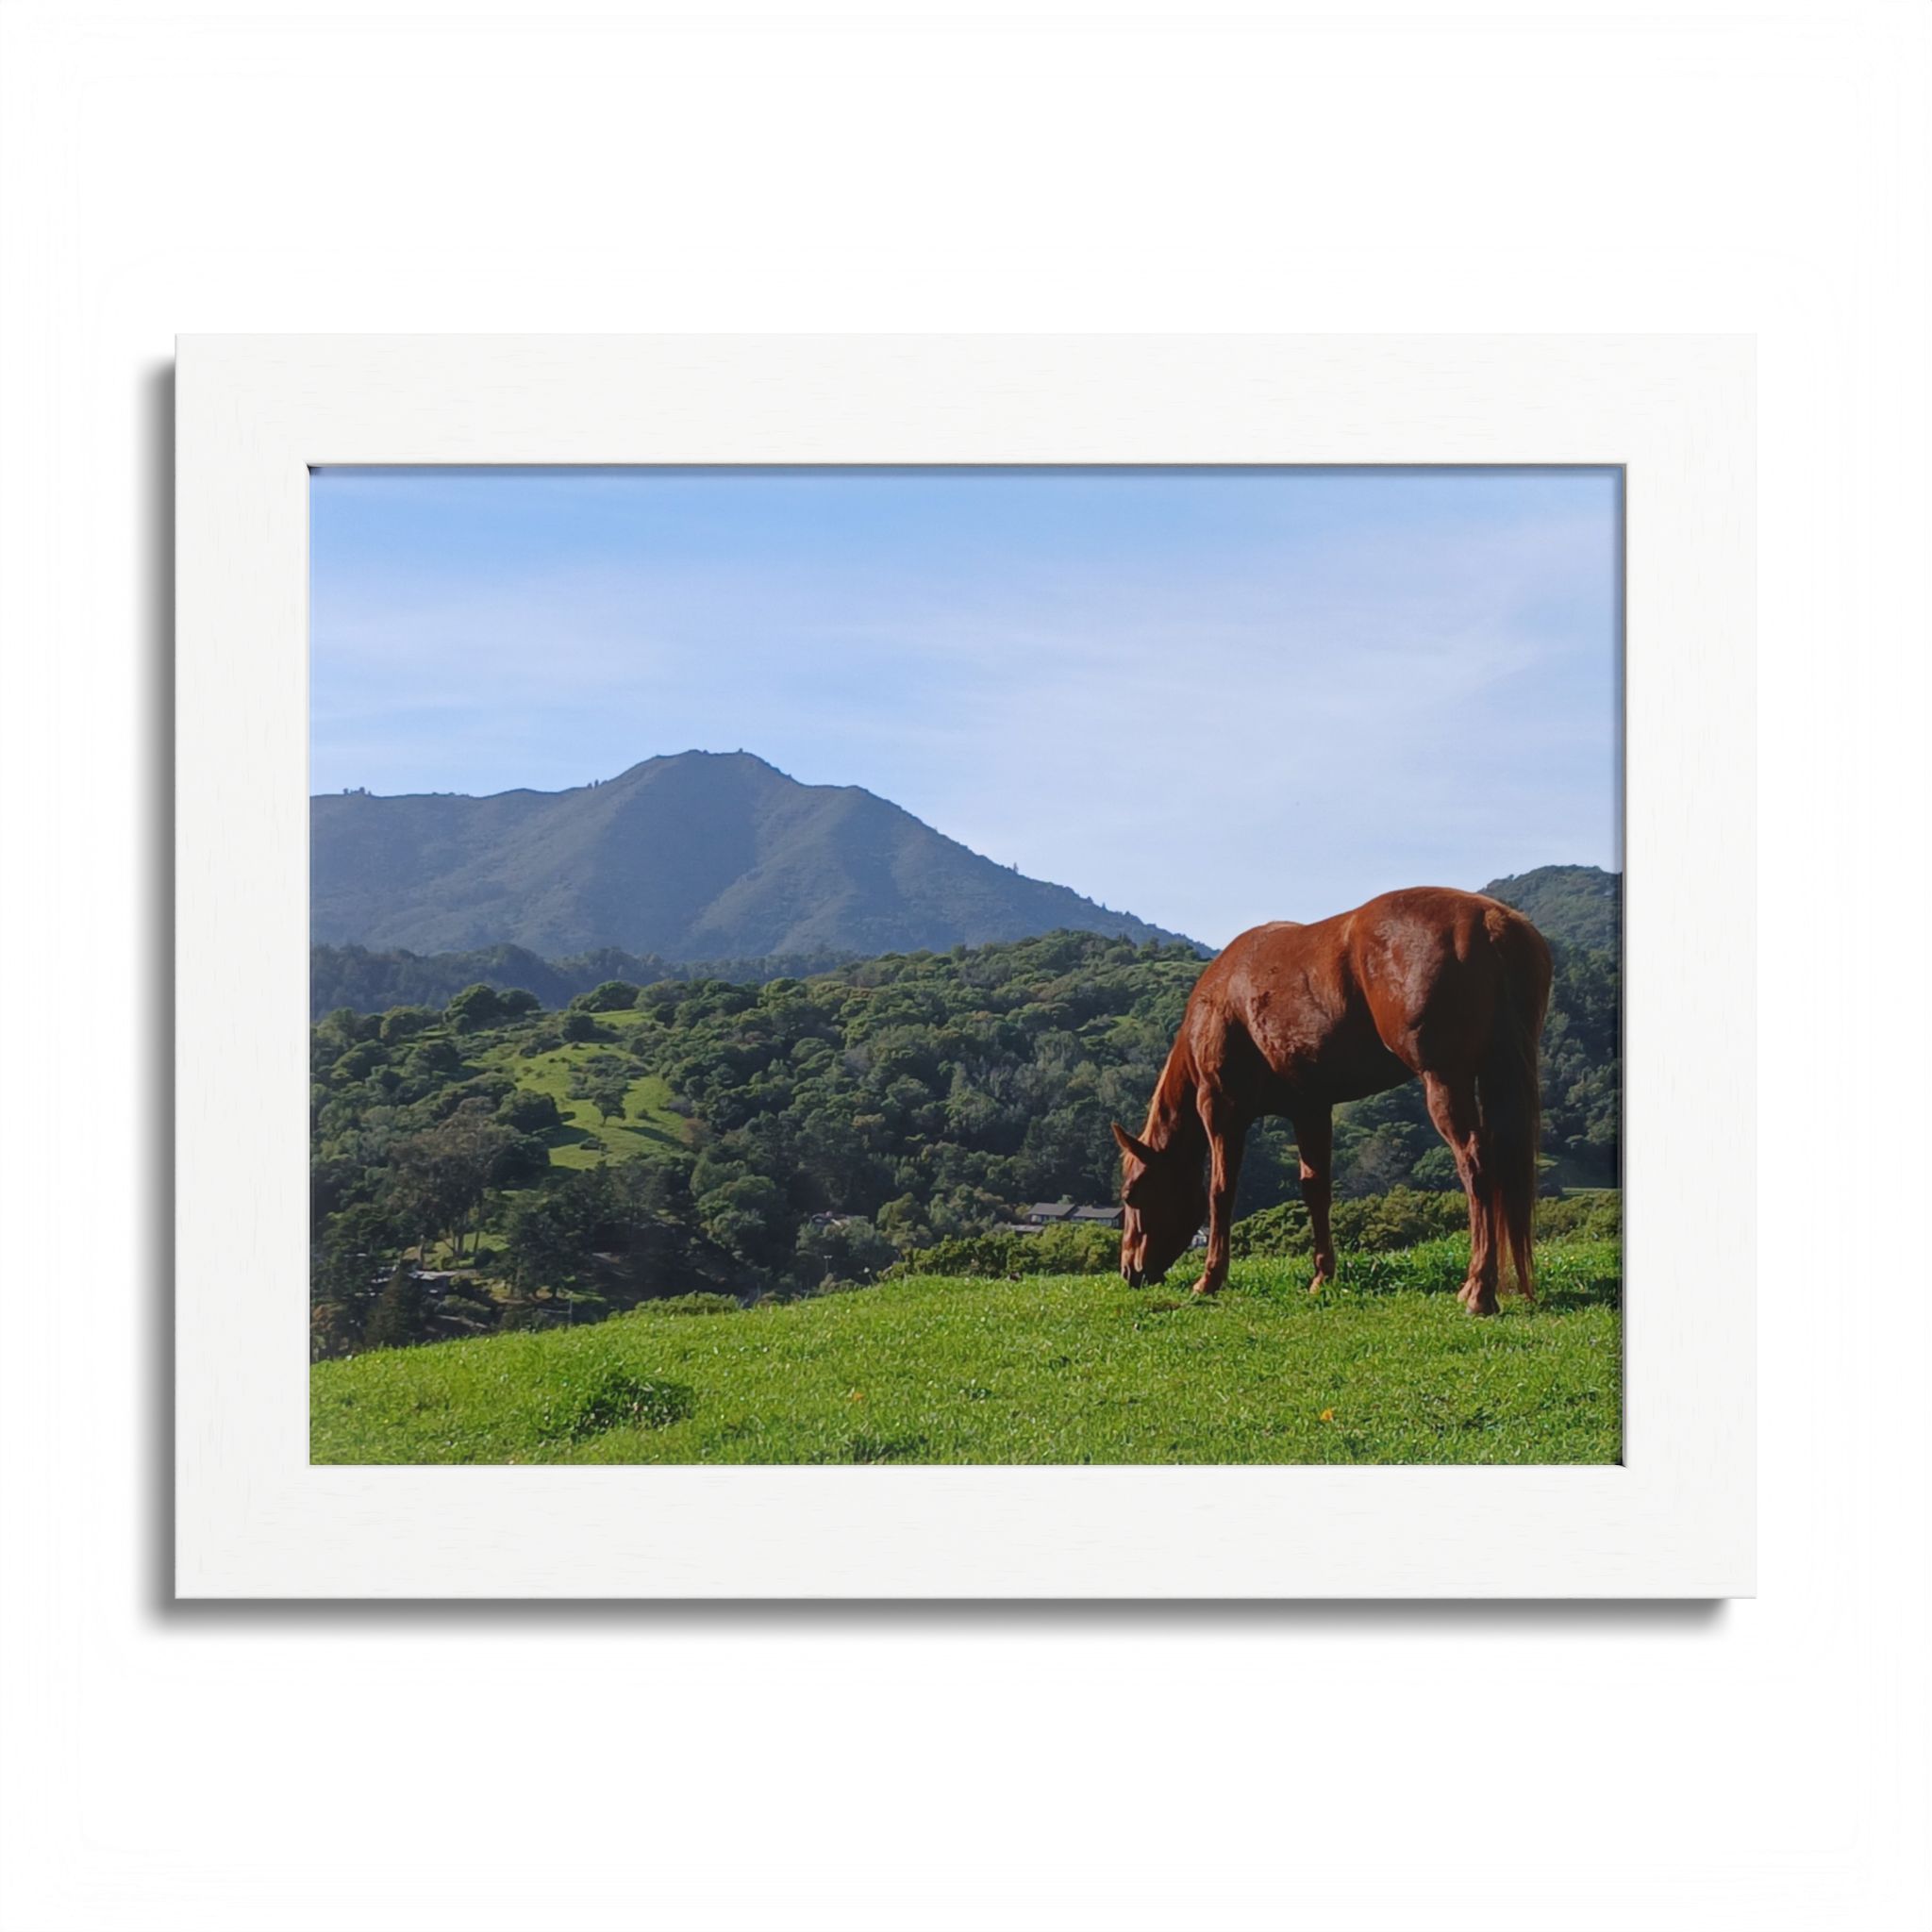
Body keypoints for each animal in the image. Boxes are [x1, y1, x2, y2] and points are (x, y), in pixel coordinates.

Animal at [1113, 887, 1553, 1316]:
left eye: (1131, 1195)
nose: (1129, 1271)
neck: (1221, 999)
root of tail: (1490, 921)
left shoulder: (1221, 1108)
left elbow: (1221, 1191)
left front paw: (1210, 1279)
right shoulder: (1309, 1108)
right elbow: (1316, 1189)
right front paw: (1323, 1274)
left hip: (1445, 1079)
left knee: (1475, 1163)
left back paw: (1479, 1290)